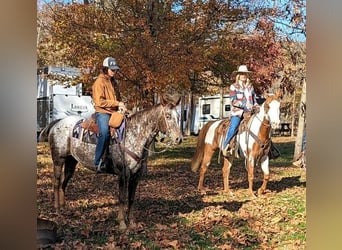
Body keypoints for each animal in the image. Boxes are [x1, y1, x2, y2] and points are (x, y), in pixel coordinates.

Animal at [39, 93, 183, 229]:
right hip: (58, 160)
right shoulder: (123, 174)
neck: (133, 135)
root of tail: (58, 122)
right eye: (168, 116)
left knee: (64, 182)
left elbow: (131, 199)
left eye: (179, 116)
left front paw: (132, 222)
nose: (179, 139)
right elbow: (122, 198)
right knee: (57, 183)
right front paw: (122, 223)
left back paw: (64, 207)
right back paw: (57, 210)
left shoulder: (136, 176)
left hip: (71, 161)